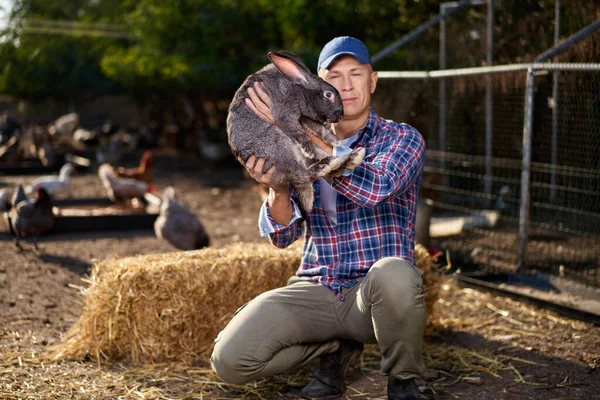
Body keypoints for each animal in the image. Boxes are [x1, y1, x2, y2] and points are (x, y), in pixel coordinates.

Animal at [226, 50, 364, 212]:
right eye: (328, 95)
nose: (340, 115)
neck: (299, 88)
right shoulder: (284, 112)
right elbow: (297, 131)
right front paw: (308, 148)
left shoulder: (305, 118)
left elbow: (318, 128)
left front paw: (334, 140)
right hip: (279, 147)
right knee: (301, 174)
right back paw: (325, 165)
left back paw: (351, 157)